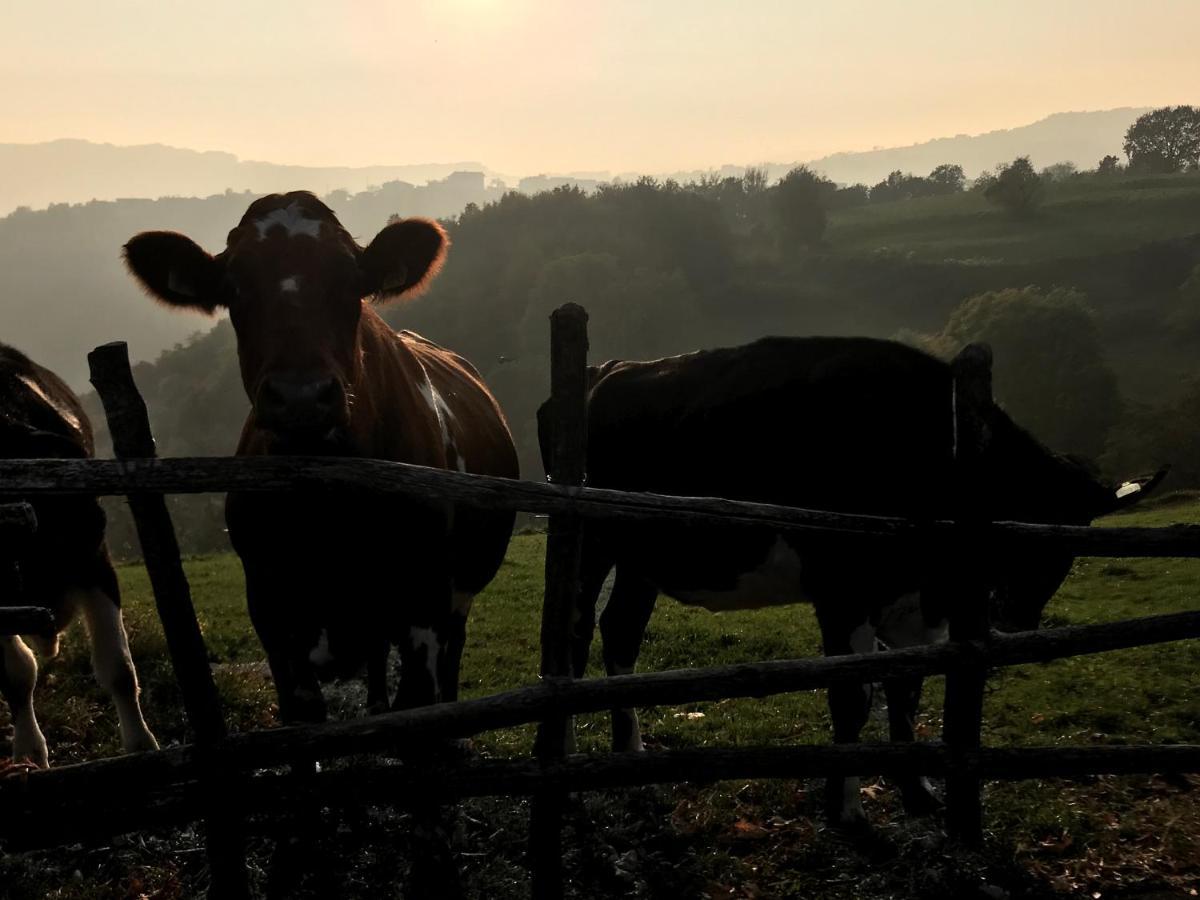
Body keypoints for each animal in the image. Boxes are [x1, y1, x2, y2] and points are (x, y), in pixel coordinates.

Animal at [0, 340, 159, 763]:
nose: (95, 520)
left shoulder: (96, 563)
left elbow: (117, 666)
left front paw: (141, 745)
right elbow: (18, 675)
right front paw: (28, 755)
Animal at [542, 338, 1161, 830]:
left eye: (1072, 540)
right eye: (1019, 520)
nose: (1017, 618)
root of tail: (604, 367)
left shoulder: (913, 602)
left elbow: (905, 690)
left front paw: (918, 792)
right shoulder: (841, 589)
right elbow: (853, 697)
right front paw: (847, 809)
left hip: (642, 557)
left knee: (620, 633)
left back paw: (631, 762)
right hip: (589, 543)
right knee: (572, 640)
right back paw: (567, 773)